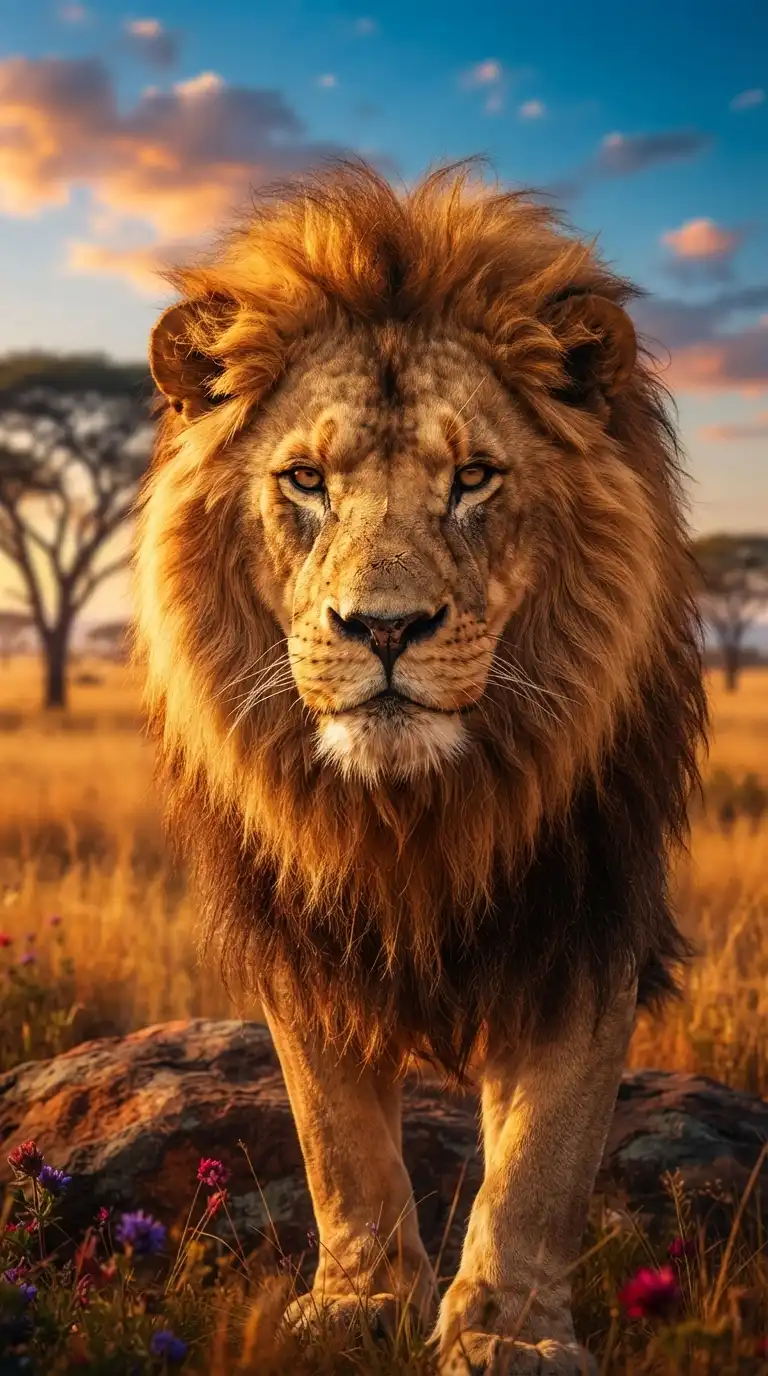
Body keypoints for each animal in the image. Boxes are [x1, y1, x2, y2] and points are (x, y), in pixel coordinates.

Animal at [135, 158, 708, 1373]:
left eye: (475, 477)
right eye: (306, 479)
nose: (384, 628)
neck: (414, 808)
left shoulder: (583, 915)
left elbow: (540, 1158)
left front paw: (508, 1335)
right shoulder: (299, 926)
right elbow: (337, 1138)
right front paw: (359, 1304)